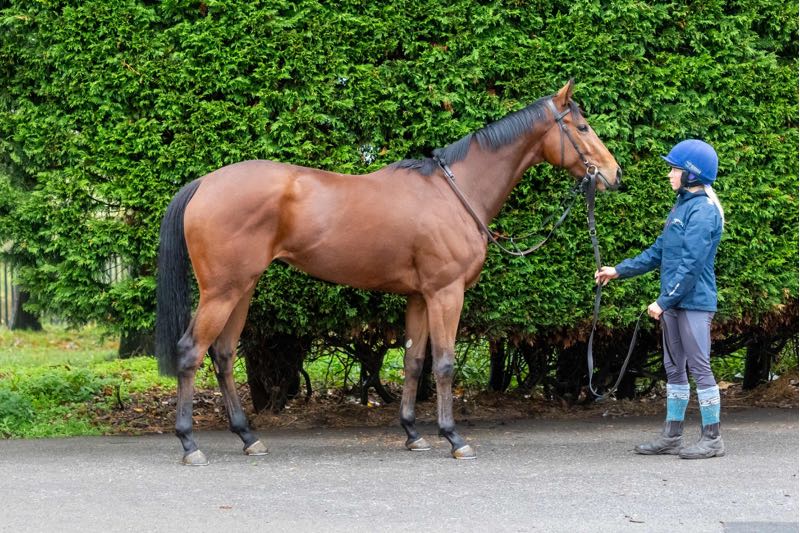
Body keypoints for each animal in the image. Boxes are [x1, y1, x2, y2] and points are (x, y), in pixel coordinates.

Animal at [155, 80, 621, 465]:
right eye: (582, 127)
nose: (614, 174)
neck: (455, 192)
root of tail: (204, 184)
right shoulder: (446, 292)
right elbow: (444, 363)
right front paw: (454, 437)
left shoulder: (420, 296)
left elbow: (415, 361)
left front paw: (414, 433)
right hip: (222, 290)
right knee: (191, 352)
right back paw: (190, 444)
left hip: (243, 288)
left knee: (223, 354)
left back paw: (248, 437)